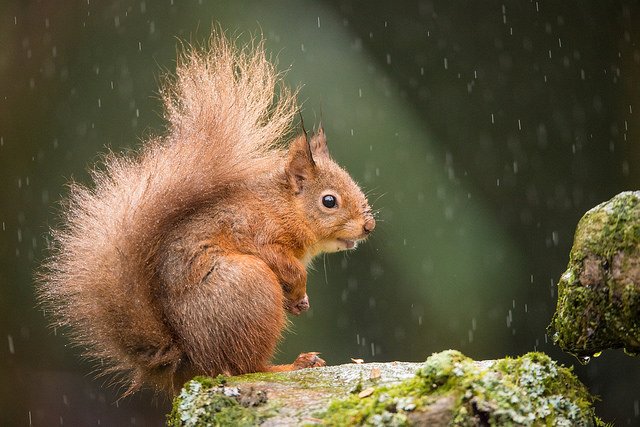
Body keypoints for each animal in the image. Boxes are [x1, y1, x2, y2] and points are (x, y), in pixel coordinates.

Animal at [36, 34, 376, 398]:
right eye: (329, 201)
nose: (368, 226)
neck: (282, 206)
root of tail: (189, 360)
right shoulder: (258, 233)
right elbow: (285, 264)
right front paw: (299, 289)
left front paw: (300, 302)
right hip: (250, 286)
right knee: (245, 368)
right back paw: (293, 365)